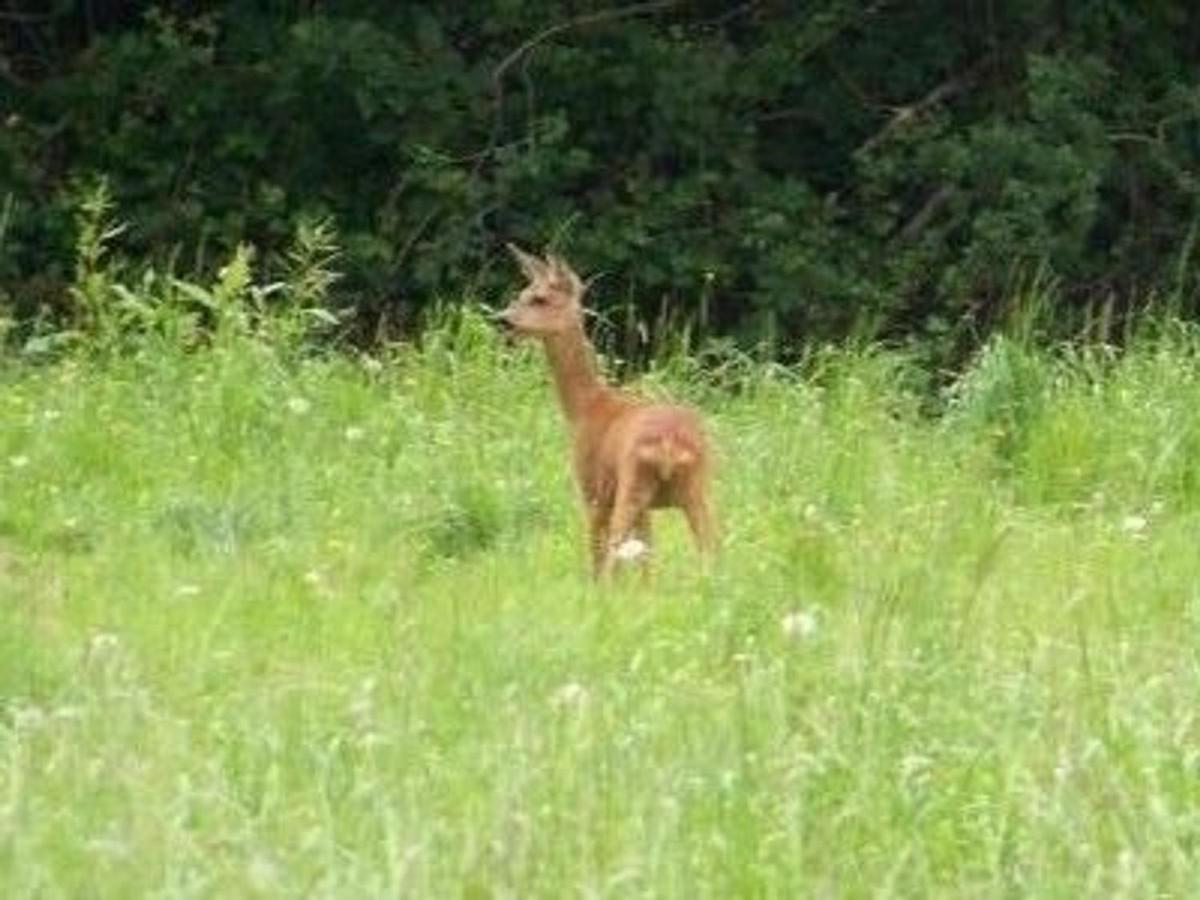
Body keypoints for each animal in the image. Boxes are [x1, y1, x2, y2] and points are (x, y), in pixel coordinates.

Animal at [496, 244, 710, 578]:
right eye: (521, 293)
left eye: (540, 298)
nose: (502, 320)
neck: (587, 406)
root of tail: (669, 444)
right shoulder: (645, 509)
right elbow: (648, 565)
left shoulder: (593, 491)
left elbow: (595, 561)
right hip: (696, 488)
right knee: (712, 553)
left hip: (630, 485)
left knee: (610, 559)